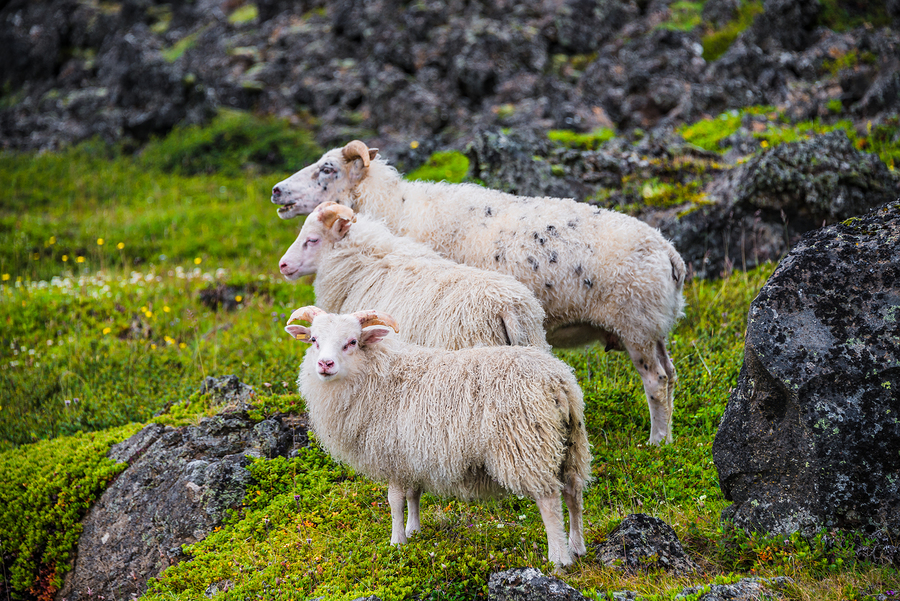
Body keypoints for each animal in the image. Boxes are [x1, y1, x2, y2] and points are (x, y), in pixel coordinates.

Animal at [282, 304, 592, 568]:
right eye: (313, 340)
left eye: (352, 342)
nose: (325, 364)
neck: (377, 375)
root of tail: (558, 382)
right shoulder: (412, 455)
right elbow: (414, 494)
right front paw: (414, 530)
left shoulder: (392, 453)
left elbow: (395, 500)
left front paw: (397, 542)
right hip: (570, 443)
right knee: (573, 493)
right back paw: (577, 547)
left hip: (526, 445)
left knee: (550, 501)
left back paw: (559, 558)